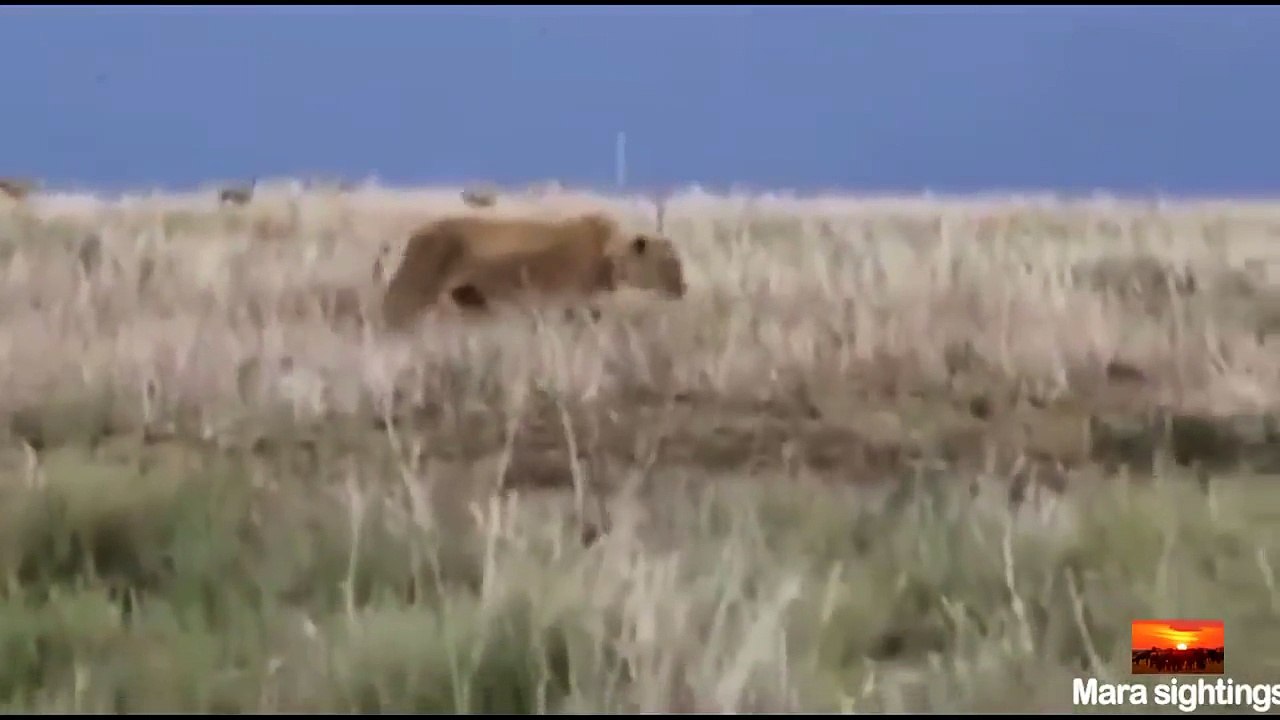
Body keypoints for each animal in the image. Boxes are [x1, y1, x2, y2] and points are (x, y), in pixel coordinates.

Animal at [379, 212, 687, 330]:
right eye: (668, 262)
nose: (683, 288)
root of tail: (417, 233)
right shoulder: (572, 301)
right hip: (415, 288)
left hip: (470, 298)